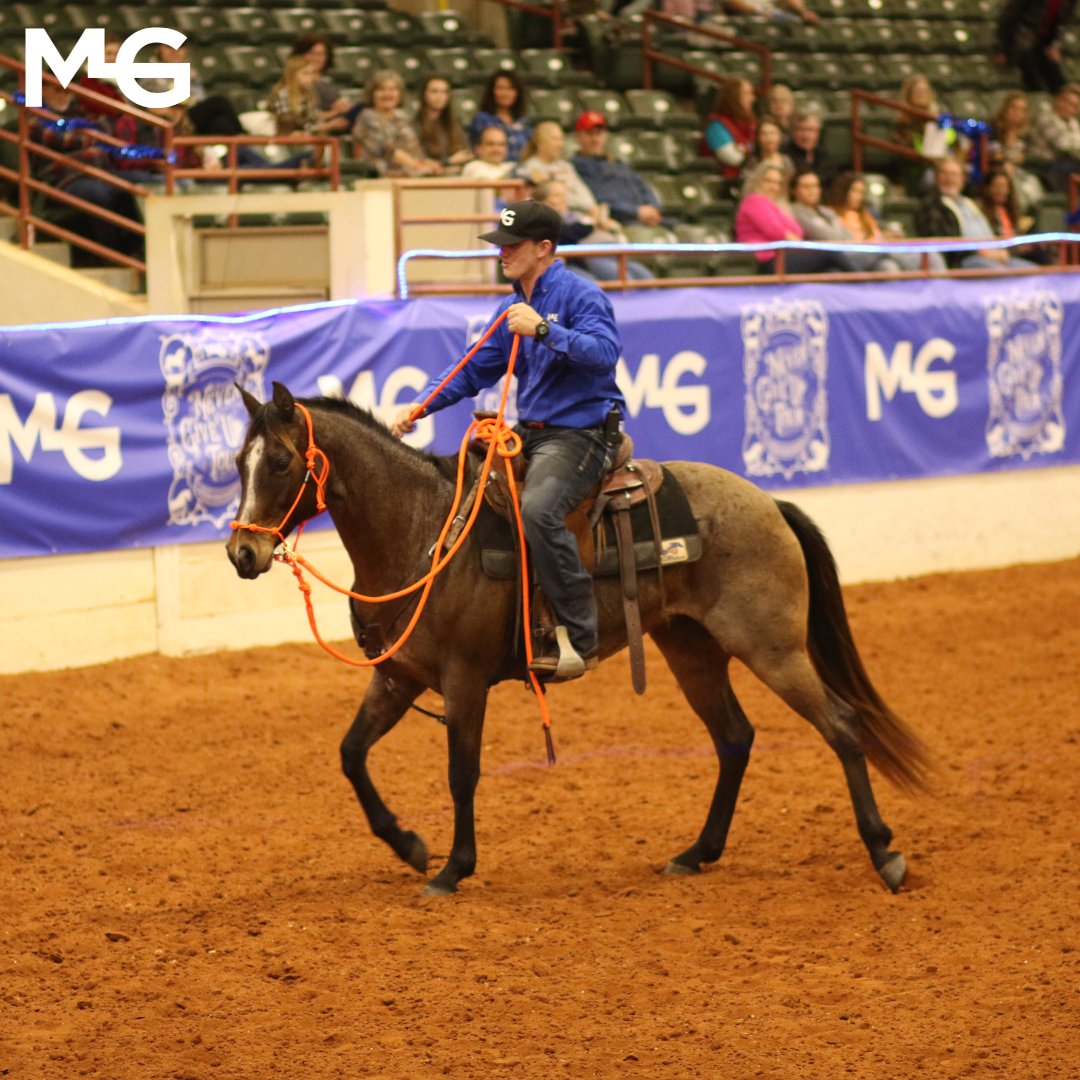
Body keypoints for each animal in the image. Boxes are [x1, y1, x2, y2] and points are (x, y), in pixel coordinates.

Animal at [226, 382, 930, 897]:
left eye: (281, 461)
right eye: (238, 463)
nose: (241, 552)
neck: (425, 531)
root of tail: (768, 502)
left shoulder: (463, 682)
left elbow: (462, 773)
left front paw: (453, 869)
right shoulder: (399, 677)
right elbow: (351, 754)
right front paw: (411, 846)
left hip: (772, 648)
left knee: (841, 726)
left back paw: (885, 854)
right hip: (690, 648)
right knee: (734, 738)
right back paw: (696, 853)